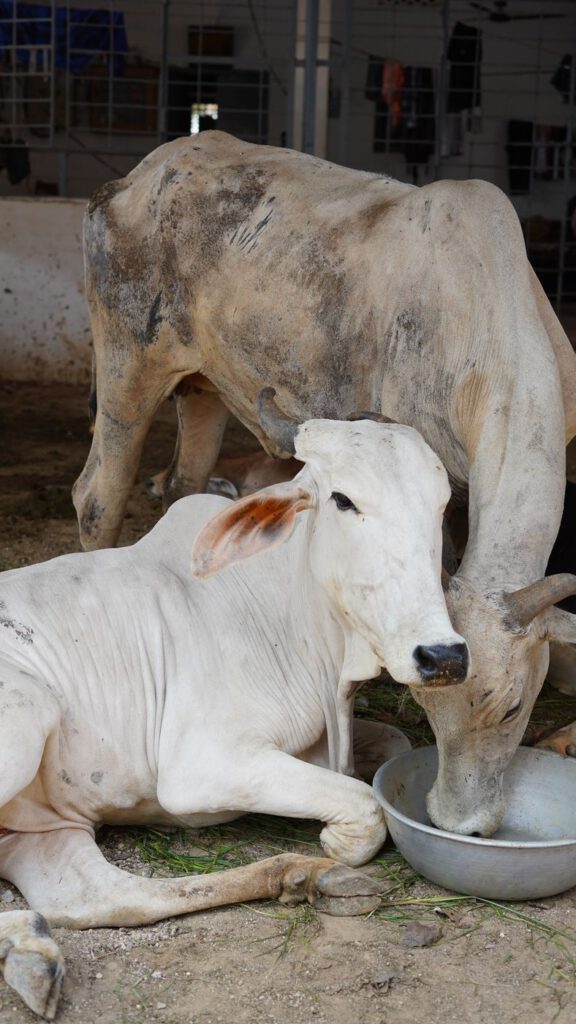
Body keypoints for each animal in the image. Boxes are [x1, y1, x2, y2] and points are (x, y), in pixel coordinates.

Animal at [0, 403, 471, 1019]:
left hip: (44, 826)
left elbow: (392, 747)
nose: (443, 655)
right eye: (343, 500)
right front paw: (337, 845)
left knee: (95, 896)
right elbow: (364, 802)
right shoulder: (201, 765)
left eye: (440, 505)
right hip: (25, 716)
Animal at [73, 130, 576, 838]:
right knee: (97, 497)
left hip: (201, 386)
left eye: (511, 709)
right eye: (430, 714)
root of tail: (138, 175)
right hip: (128, 362)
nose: (460, 825)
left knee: (183, 484)